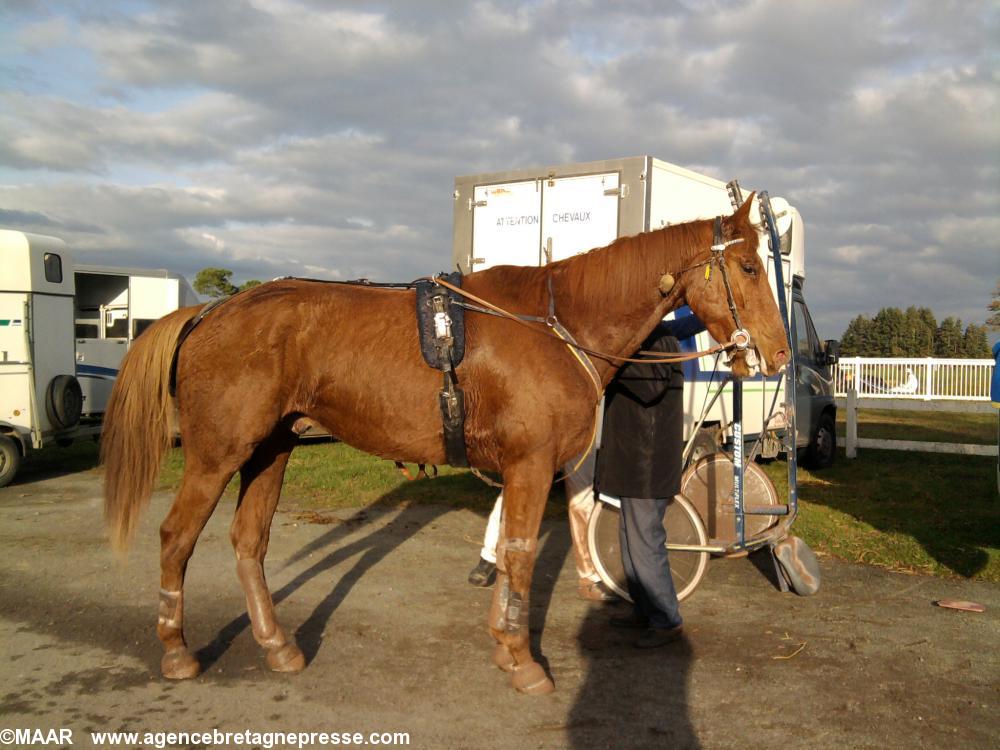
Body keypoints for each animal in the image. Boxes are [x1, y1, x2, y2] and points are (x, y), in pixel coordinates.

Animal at [101, 194, 788, 692]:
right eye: (748, 267)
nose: (779, 354)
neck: (555, 326)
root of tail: (207, 314)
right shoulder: (531, 465)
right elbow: (518, 555)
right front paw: (523, 660)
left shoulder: (527, 469)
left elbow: (513, 551)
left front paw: (506, 644)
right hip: (218, 456)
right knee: (177, 538)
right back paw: (177, 652)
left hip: (270, 451)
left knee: (249, 543)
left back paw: (277, 646)